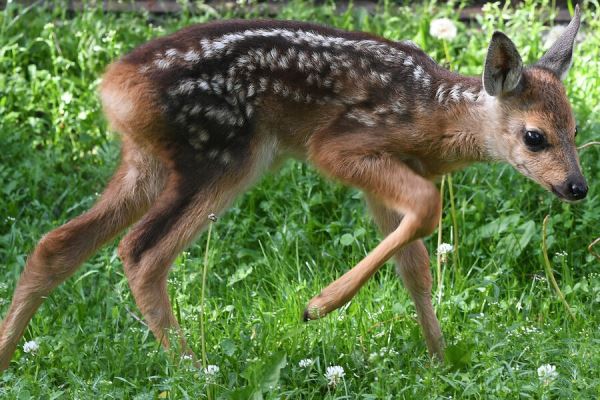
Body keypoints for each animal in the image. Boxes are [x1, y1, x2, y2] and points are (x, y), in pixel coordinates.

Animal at [0, 5, 584, 368]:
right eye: (534, 137)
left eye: (576, 128)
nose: (577, 186)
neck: (434, 120)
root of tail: (112, 87)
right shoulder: (340, 145)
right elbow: (426, 206)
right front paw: (319, 305)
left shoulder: (386, 175)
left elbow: (415, 265)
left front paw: (440, 362)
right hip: (224, 153)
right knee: (142, 252)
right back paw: (194, 370)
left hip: (148, 163)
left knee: (57, 242)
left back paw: (8, 355)